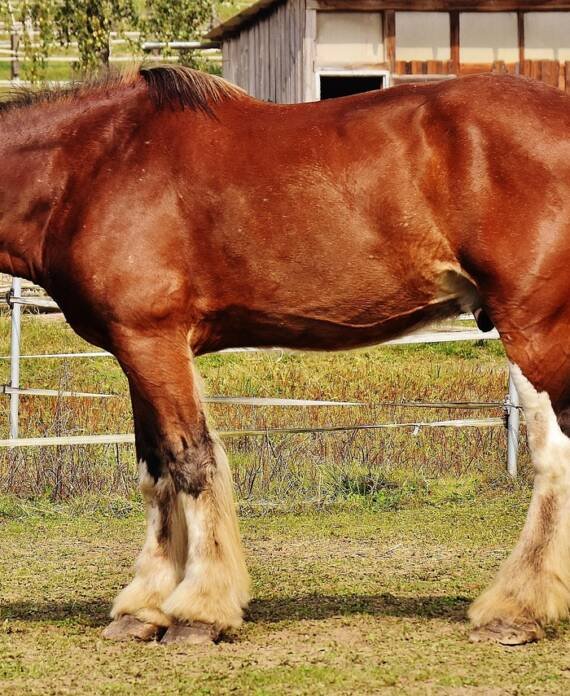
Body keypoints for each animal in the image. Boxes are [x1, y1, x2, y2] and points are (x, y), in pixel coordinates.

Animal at [1, 64, 570, 647]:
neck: (91, 167)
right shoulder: (137, 349)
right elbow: (156, 470)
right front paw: (144, 608)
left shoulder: (153, 341)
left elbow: (192, 462)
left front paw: (199, 611)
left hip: (533, 333)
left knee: (555, 459)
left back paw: (514, 611)